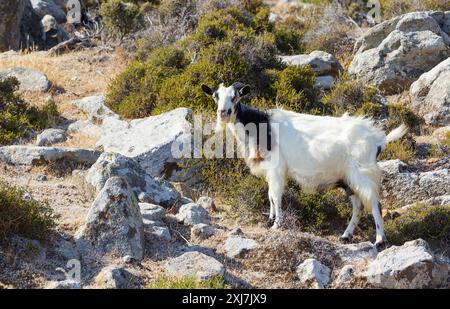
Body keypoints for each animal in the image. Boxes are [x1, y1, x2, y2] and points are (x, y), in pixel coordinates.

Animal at [202, 81, 410, 245]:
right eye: (215, 96)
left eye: (235, 97)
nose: (223, 113)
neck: (261, 126)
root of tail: (377, 139)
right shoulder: (270, 171)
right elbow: (270, 196)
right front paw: (270, 220)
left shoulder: (277, 169)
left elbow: (275, 196)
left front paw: (277, 225)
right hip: (348, 179)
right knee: (358, 206)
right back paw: (346, 236)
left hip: (363, 173)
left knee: (375, 203)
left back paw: (380, 240)